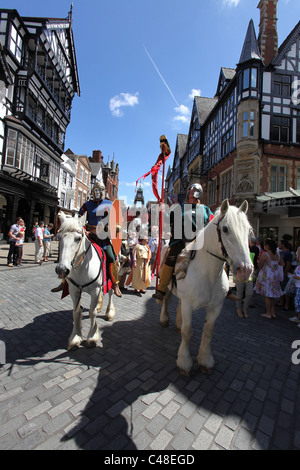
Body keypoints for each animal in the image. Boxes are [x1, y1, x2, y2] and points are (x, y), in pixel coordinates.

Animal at [55, 212, 115, 348]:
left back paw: (109, 312)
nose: (62, 270)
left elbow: (92, 313)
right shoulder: (74, 290)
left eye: (78, 239)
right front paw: (75, 337)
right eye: (59, 237)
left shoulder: (95, 290)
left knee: (110, 292)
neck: (82, 267)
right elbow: (76, 312)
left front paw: (92, 337)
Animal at [159, 200, 253, 376]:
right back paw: (164, 319)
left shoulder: (216, 306)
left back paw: (177, 323)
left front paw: (205, 361)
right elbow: (187, 331)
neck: (208, 273)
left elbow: (208, 331)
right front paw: (184, 362)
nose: (245, 269)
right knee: (166, 300)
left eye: (249, 230)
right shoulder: (188, 305)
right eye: (225, 229)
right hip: (167, 286)